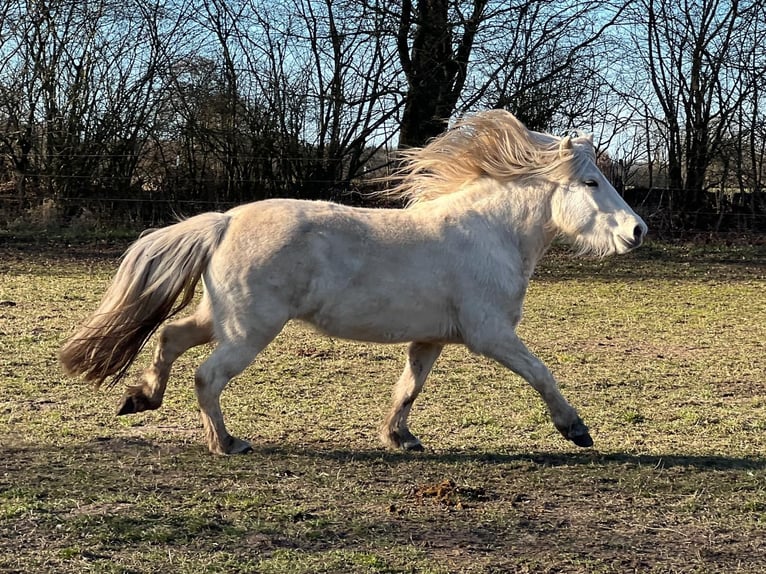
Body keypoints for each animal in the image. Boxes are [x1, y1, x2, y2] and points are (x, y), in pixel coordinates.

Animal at [60, 110, 647, 455]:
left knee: (170, 337)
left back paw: (140, 399)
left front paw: (400, 437)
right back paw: (226, 442)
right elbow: (541, 373)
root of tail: (224, 221)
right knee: (207, 375)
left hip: (222, 318)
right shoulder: (492, 335)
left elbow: (409, 388)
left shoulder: (430, 339)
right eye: (591, 182)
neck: (489, 234)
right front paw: (576, 430)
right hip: (250, 329)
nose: (637, 231)